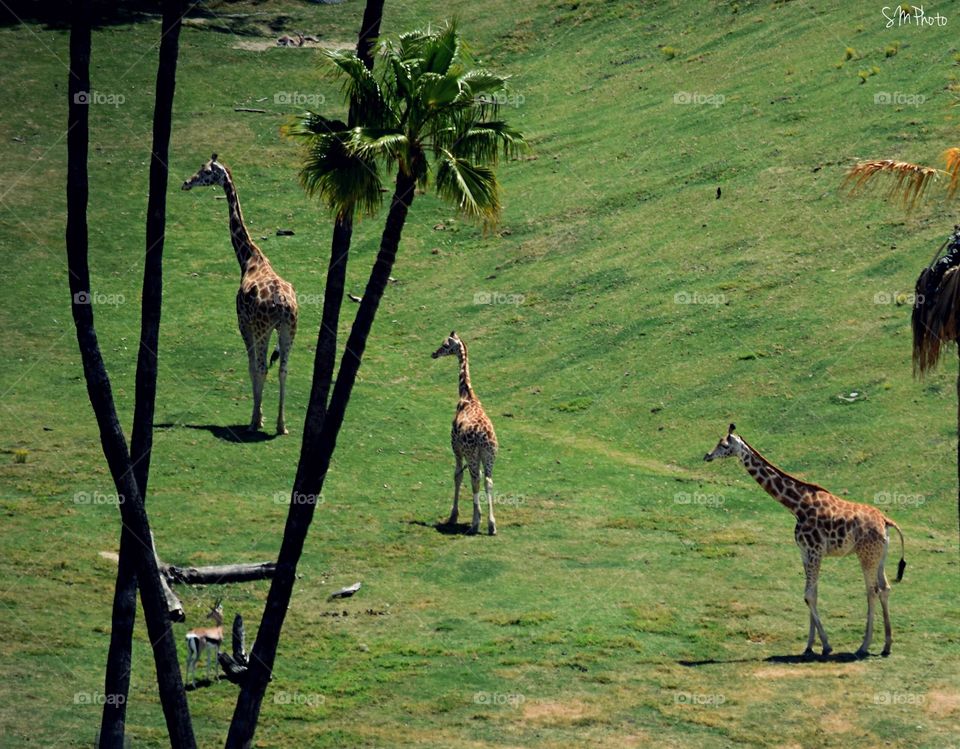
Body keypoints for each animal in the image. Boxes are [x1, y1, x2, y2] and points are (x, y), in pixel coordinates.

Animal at [182, 154, 298, 434]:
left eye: (205, 171)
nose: (186, 182)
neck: (248, 258)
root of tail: (284, 305)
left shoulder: (243, 322)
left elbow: (251, 367)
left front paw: (257, 417)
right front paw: (263, 417)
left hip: (264, 327)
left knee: (262, 366)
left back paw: (255, 421)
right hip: (289, 328)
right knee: (284, 369)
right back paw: (282, 426)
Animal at [432, 332, 499, 535]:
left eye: (446, 345)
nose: (434, 353)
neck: (466, 395)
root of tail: (484, 438)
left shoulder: (455, 446)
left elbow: (457, 475)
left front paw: (454, 515)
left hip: (472, 454)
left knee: (475, 480)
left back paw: (475, 524)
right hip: (490, 455)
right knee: (488, 480)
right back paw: (491, 525)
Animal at [703, 424, 906, 658]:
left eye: (723, 444)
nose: (707, 455)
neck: (797, 505)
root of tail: (886, 521)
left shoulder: (815, 550)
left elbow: (808, 595)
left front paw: (826, 646)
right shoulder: (804, 551)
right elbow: (813, 595)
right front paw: (809, 646)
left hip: (866, 555)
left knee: (872, 592)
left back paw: (864, 646)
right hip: (880, 556)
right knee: (885, 588)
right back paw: (886, 646)